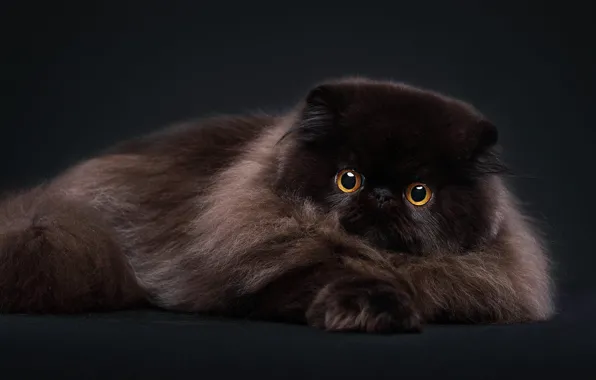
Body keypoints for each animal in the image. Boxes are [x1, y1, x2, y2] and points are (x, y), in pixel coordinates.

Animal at [0, 77, 556, 332]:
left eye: (419, 193)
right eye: (348, 180)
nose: (380, 195)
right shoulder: (263, 278)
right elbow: (317, 275)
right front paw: (366, 309)